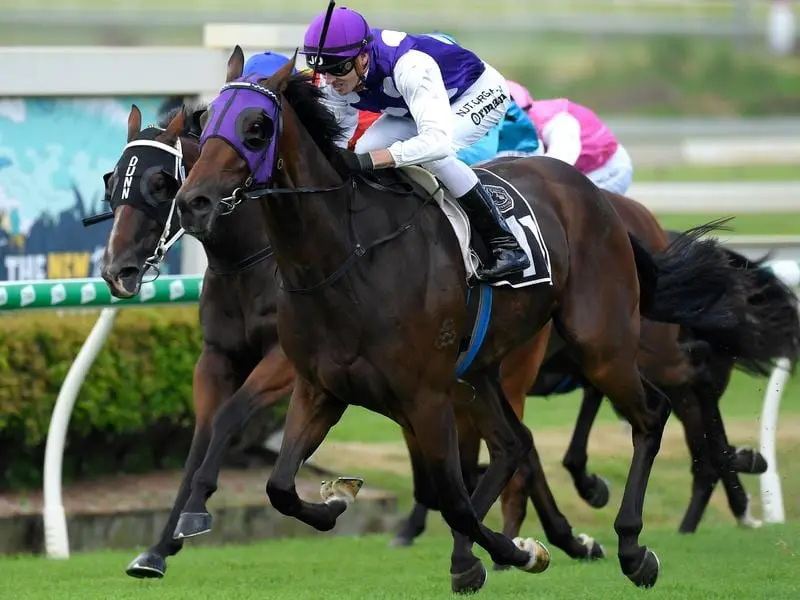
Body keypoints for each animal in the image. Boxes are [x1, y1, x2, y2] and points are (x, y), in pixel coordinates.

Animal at [172, 48, 752, 592]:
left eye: (257, 127)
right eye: (208, 120)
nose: (193, 201)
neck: (347, 259)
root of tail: (599, 198)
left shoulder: (423, 396)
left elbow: (451, 497)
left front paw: (516, 552)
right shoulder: (320, 389)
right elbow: (280, 487)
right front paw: (341, 501)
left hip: (601, 343)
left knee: (653, 412)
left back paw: (635, 545)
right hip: (476, 372)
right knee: (514, 443)